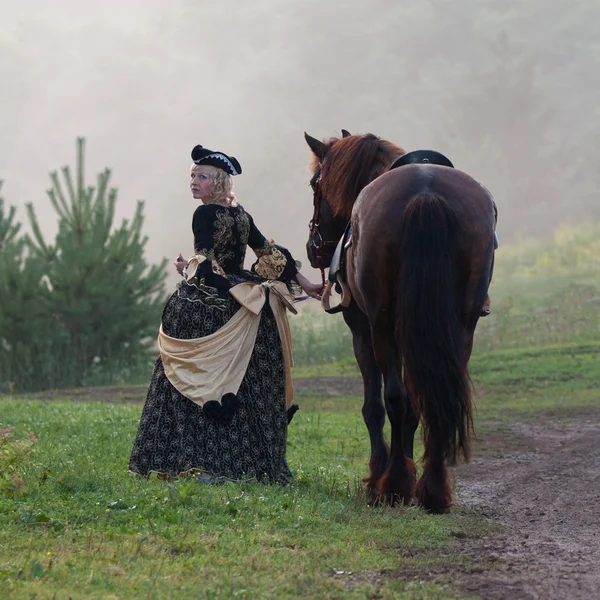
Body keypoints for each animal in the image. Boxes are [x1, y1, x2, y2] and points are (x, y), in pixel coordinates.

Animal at [304, 129, 496, 512]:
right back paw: (433, 489)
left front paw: (379, 476)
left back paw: (393, 484)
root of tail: (425, 193)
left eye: (315, 182)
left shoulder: (362, 331)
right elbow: (414, 403)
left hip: (381, 329)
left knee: (393, 397)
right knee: (434, 398)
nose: (312, 247)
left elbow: (376, 406)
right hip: (461, 327)